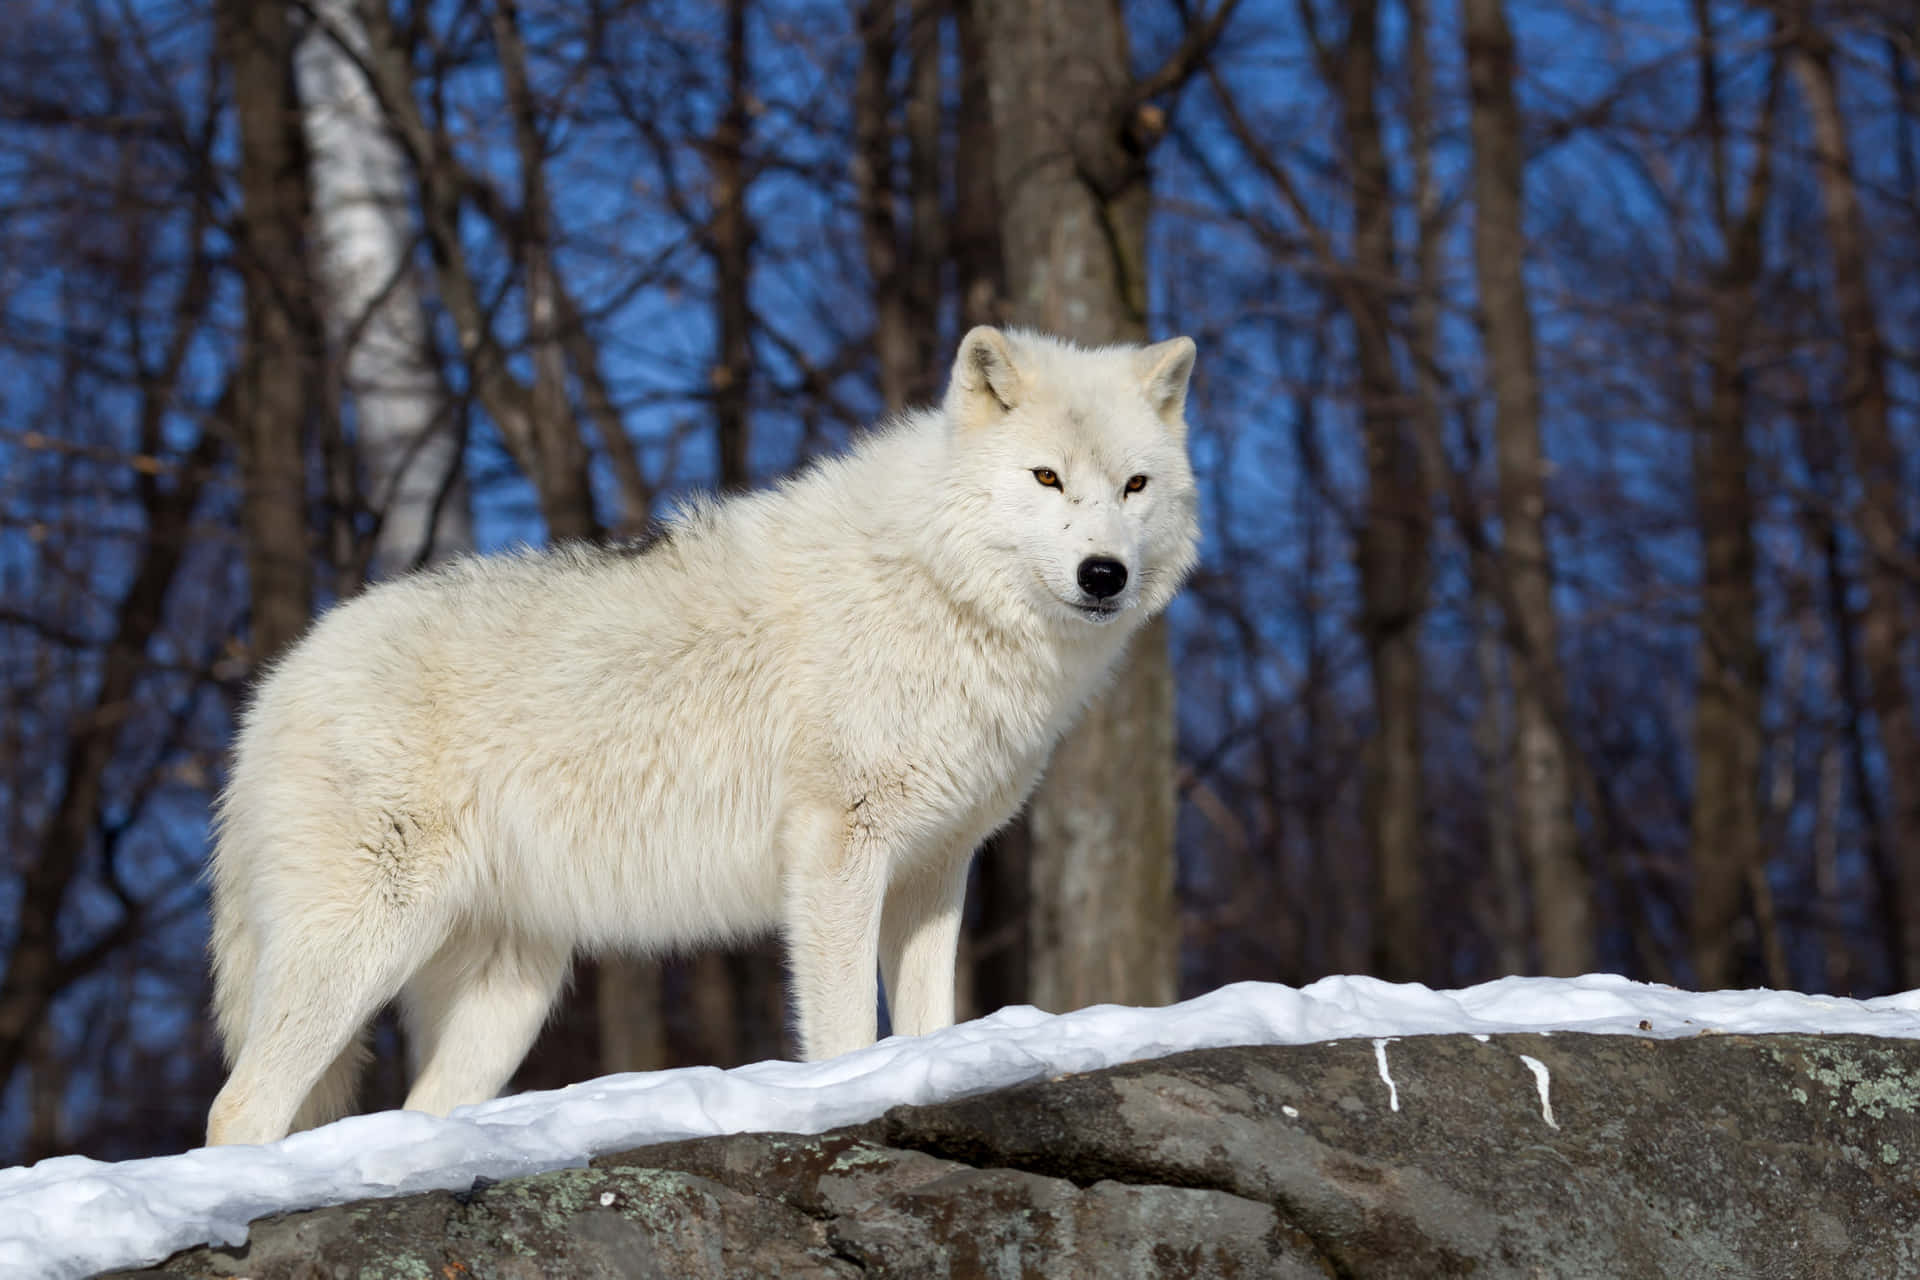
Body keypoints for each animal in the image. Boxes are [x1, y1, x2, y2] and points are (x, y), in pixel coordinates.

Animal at [210, 326, 1198, 1143]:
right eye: (1046, 478)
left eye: (1135, 486)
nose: (1103, 574)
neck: (941, 591)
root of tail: (276, 684)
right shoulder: (838, 849)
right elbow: (847, 1029)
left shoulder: (936, 867)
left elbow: (929, 1022)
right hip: (361, 946)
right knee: (238, 1109)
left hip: (509, 997)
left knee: (415, 1110)